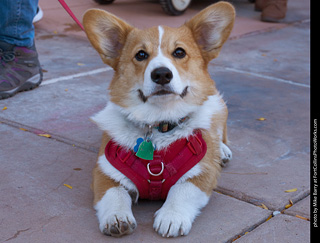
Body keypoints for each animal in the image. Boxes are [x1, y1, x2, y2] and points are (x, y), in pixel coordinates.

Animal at [84, 1, 235, 237]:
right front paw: (117, 217)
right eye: (140, 55)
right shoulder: (103, 173)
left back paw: (222, 150)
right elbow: (114, 194)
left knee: (219, 131)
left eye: (179, 52)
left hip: (217, 105)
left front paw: (171, 217)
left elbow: (181, 189)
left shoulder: (203, 174)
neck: (158, 124)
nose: (162, 74)